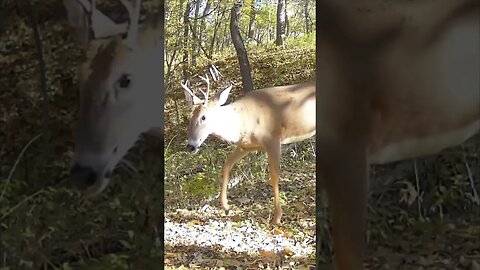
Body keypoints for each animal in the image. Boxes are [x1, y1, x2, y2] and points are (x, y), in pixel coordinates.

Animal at [180, 68, 316, 225]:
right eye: (188, 117)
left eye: (203, 117)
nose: (190, 146)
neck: (242, 120)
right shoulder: (245, 146)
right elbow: (227, 165)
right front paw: (226, 206)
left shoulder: (273, 139)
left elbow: (274, 175)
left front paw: (277, 217)